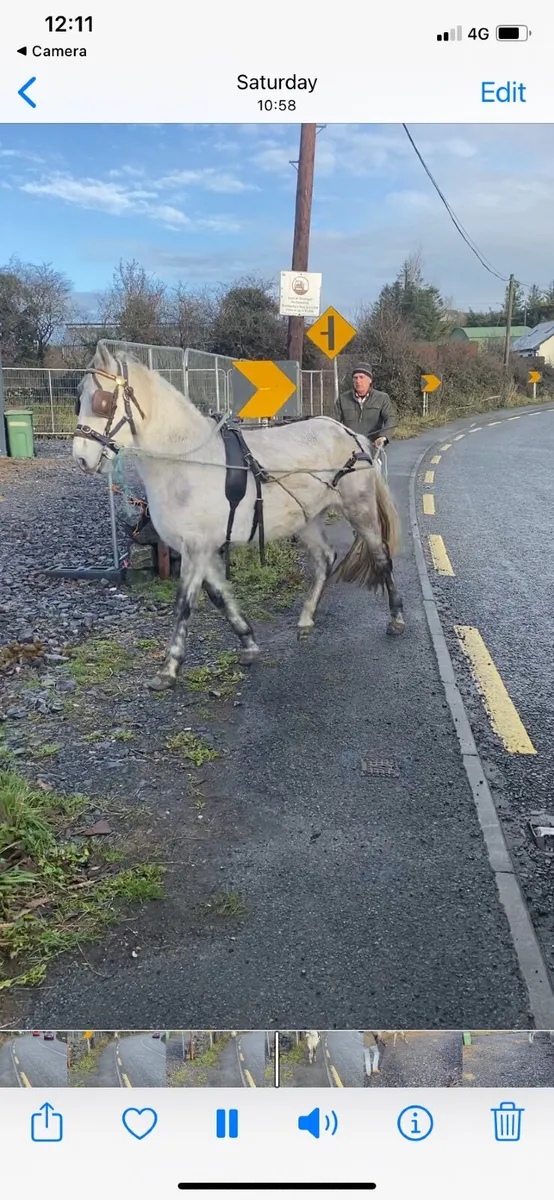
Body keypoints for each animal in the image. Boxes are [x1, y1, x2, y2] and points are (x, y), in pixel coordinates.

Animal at [72, 344, 405, 691]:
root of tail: (352, 435)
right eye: (78, 397)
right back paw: (306, 620)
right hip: (306, 519)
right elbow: (218, 596)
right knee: (325, 559)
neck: (187, 460)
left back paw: (395, 618)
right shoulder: (202, 549)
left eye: (103, 401)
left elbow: (184, 604)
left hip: (359, 510)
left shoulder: (196, 547)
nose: (81, 458)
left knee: (381, 557)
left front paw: (169, 668)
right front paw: (248, 642)